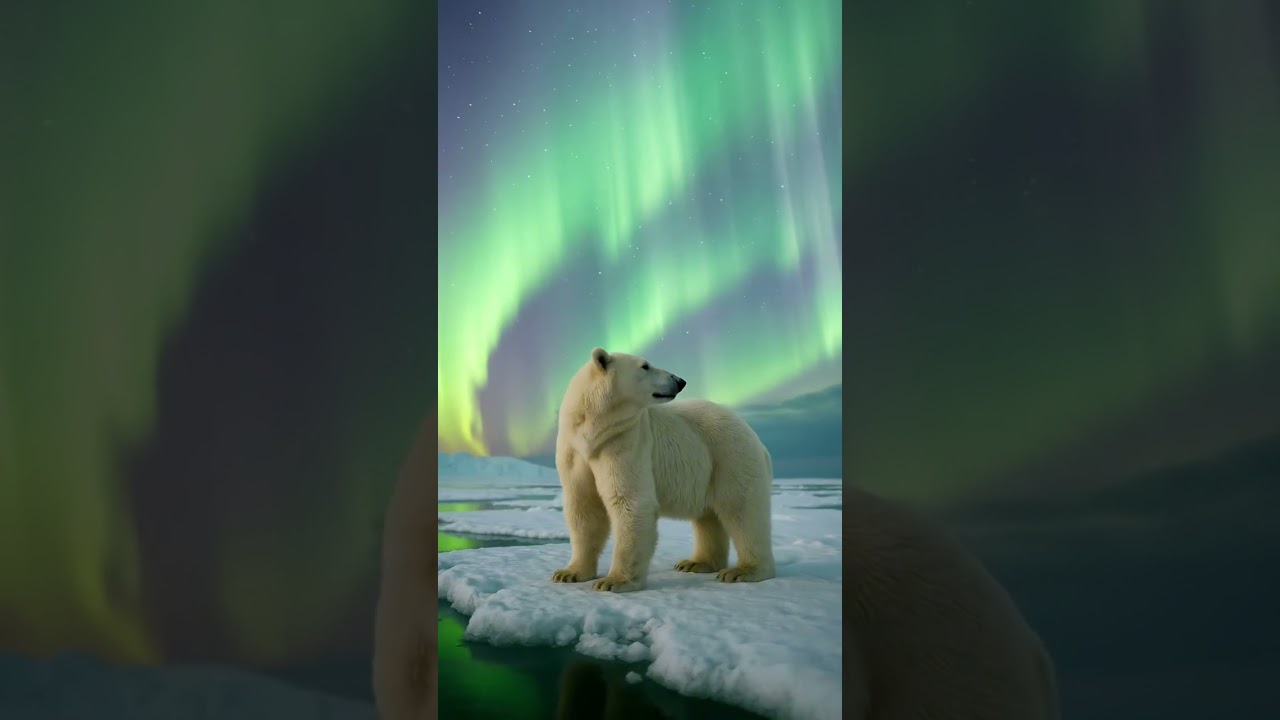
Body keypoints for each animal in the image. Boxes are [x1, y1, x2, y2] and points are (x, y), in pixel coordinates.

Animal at [550, 347, 775, 593]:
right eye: (645, 366)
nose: (680, 381)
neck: (593, 431)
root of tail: (755, 438)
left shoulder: (625, 442)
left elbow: (629, 501)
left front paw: (613, 581)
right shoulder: (575, 451)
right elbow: (584, 506)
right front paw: (568, 573)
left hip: (731, 456)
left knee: (742, 510)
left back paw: (743, 571)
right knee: (709, 516)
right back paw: (696, 563)